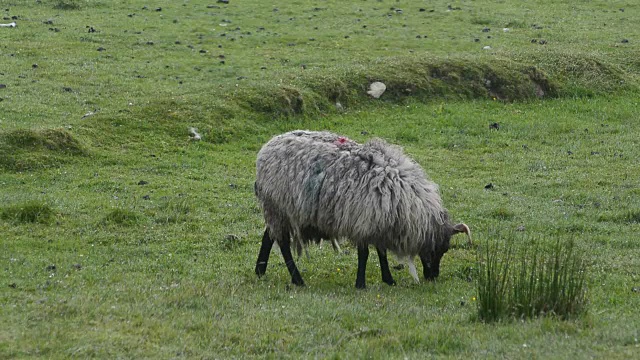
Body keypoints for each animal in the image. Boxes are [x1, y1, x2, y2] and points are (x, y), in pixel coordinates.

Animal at [254, 131, 470, 288]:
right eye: (436, 250)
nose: (433, 276)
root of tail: (266, 148)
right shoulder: (363, 221)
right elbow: (364, 254)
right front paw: (361, 284)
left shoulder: (379, 221)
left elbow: (381, 252)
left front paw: (388, 279)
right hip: (278, 207)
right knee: (282, 243)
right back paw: (297, 279)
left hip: (277, 211)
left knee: (268, 237)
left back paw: (260, 270)